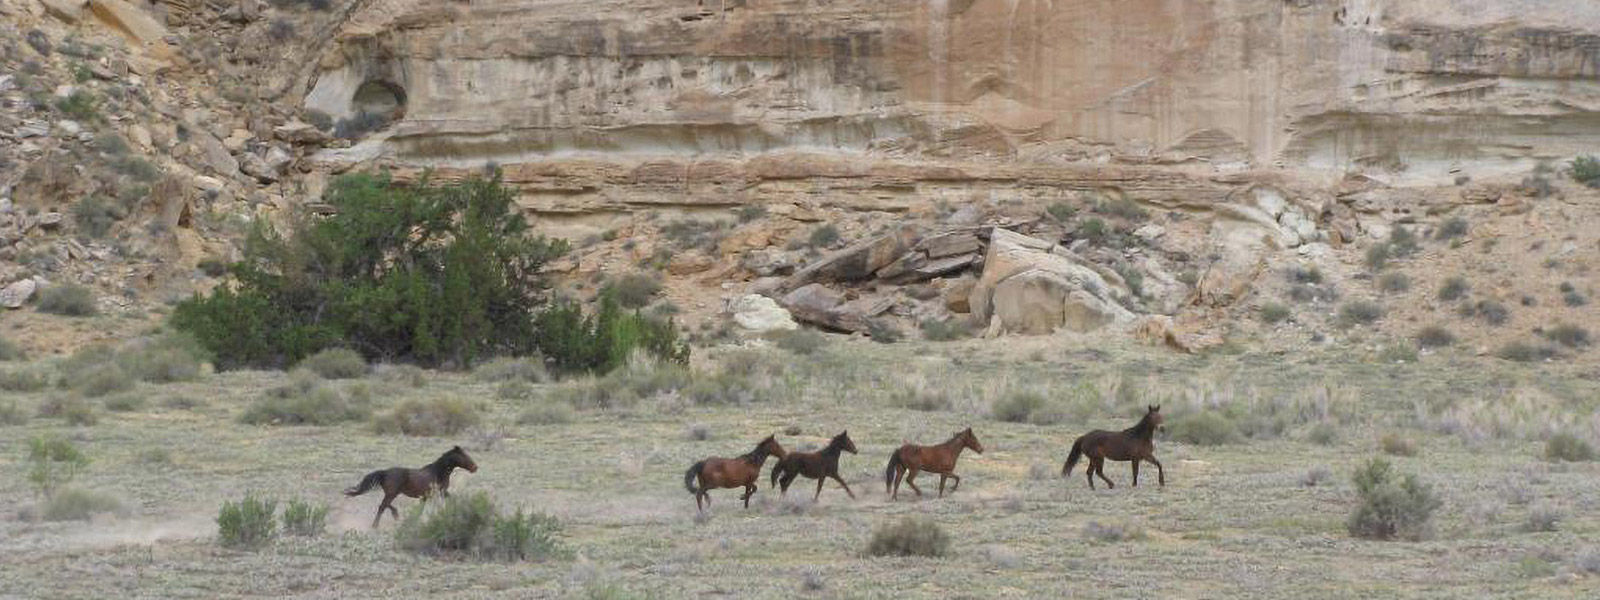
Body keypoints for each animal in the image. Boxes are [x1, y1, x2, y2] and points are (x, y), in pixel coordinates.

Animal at [347, 444, 476, 528]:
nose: (475, 467)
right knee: (382, 506)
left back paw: (395, 515)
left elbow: (420, 510)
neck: (438, 472)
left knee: (385, 505)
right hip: (392, 493)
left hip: (392, 493)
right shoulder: (439, 492)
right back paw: (376, 525)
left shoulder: (431, 495)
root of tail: (385, 472)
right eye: (464, 456)